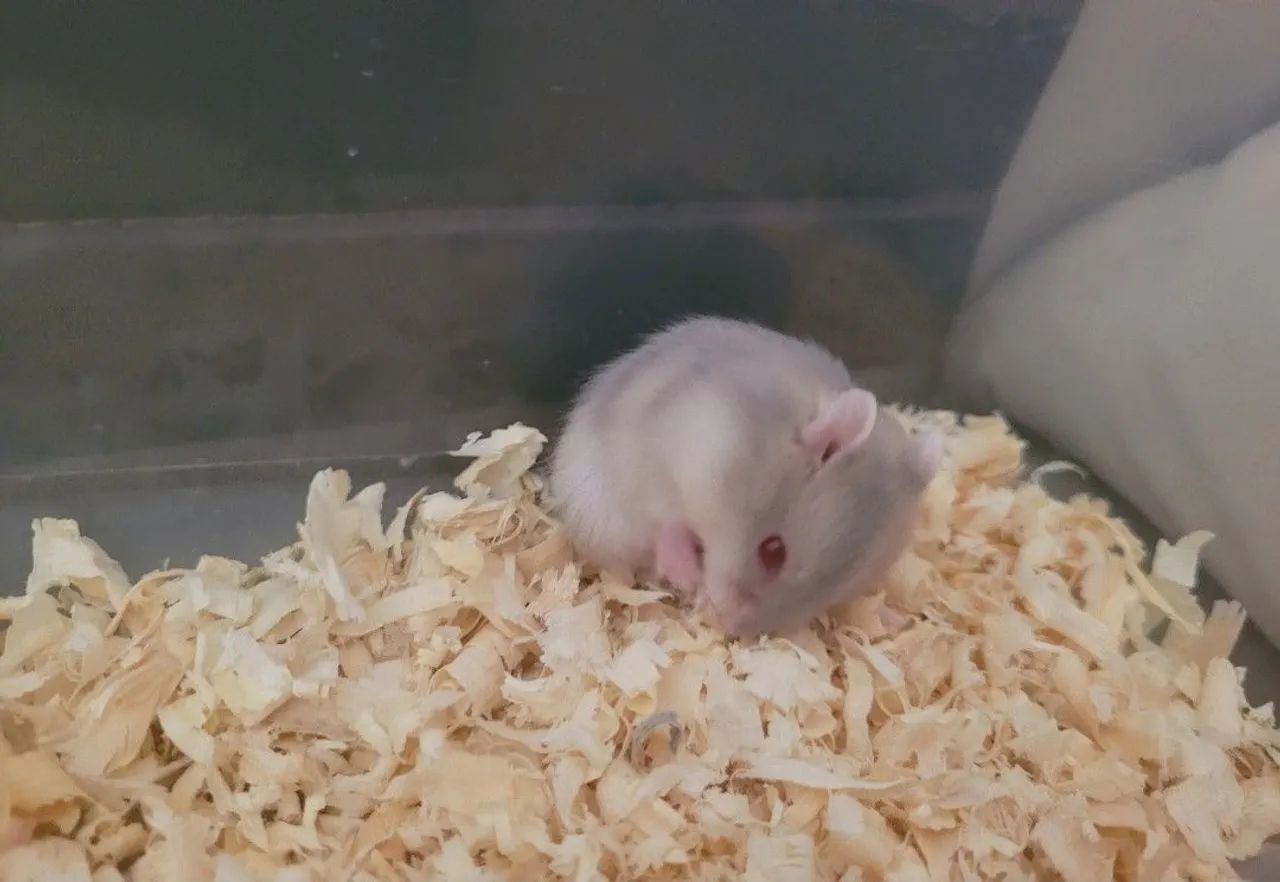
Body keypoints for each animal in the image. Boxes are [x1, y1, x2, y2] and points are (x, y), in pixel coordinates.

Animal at [549, 316, 942, 638]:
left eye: (839, 592)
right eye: (773, 552)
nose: (728, 628)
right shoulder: (657, 461)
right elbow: (666, 524)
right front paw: (688, 574)